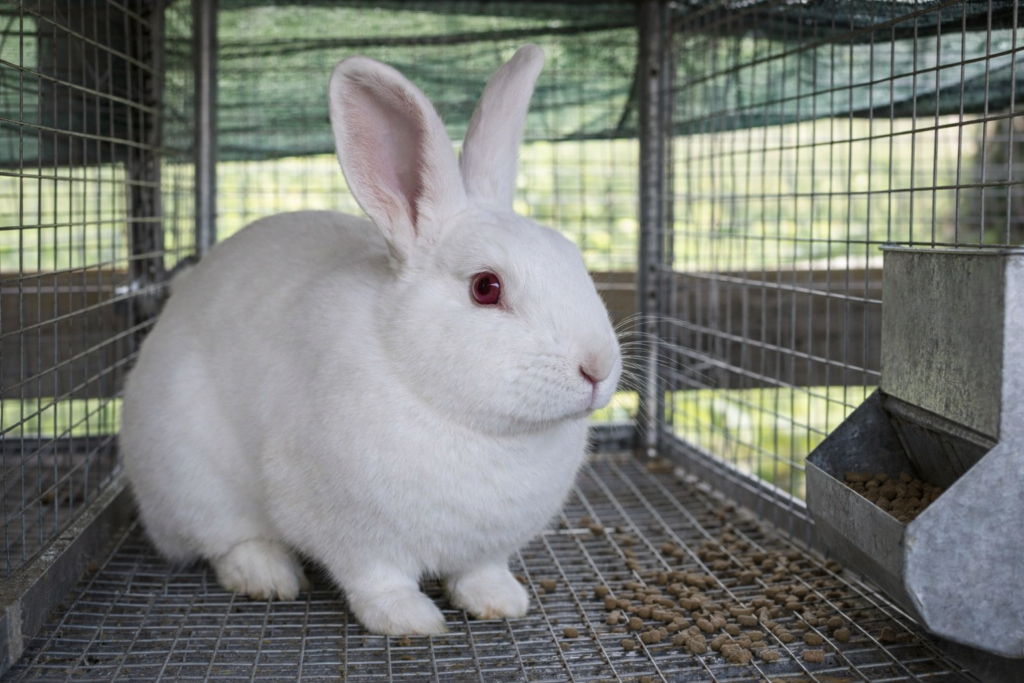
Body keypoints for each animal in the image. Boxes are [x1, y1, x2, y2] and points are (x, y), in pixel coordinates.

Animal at [120, 44, 622, 635]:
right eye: (486, 287)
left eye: (573, 257)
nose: (598, 367)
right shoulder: (354, 535)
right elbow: (377, 580)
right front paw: (411, 622)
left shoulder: (484, 547)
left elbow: (480, 573)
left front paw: (502, 602)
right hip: (192, 480)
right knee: (225, 540)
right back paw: (268, 575)